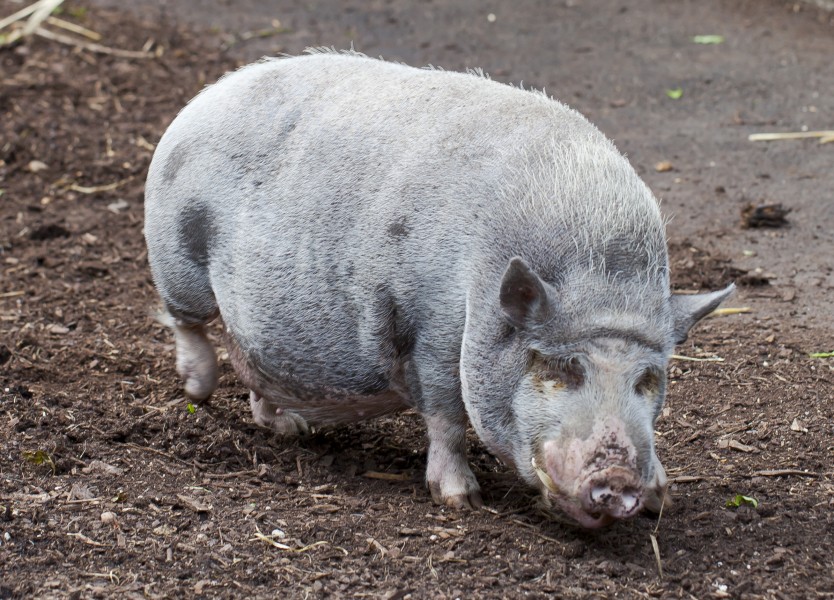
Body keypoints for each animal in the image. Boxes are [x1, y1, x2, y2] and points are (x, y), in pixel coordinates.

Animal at [144, 49, 733, 528]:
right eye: (557, 369)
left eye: (648, 379)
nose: (621, 481)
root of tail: (207, 96)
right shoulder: (432, 333)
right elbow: (447, 421)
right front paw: (461, 501)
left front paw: (665, 497)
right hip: (175, 251)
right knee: (187, 323)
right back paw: (197, 390)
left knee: (253, 366)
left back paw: (291, 429)